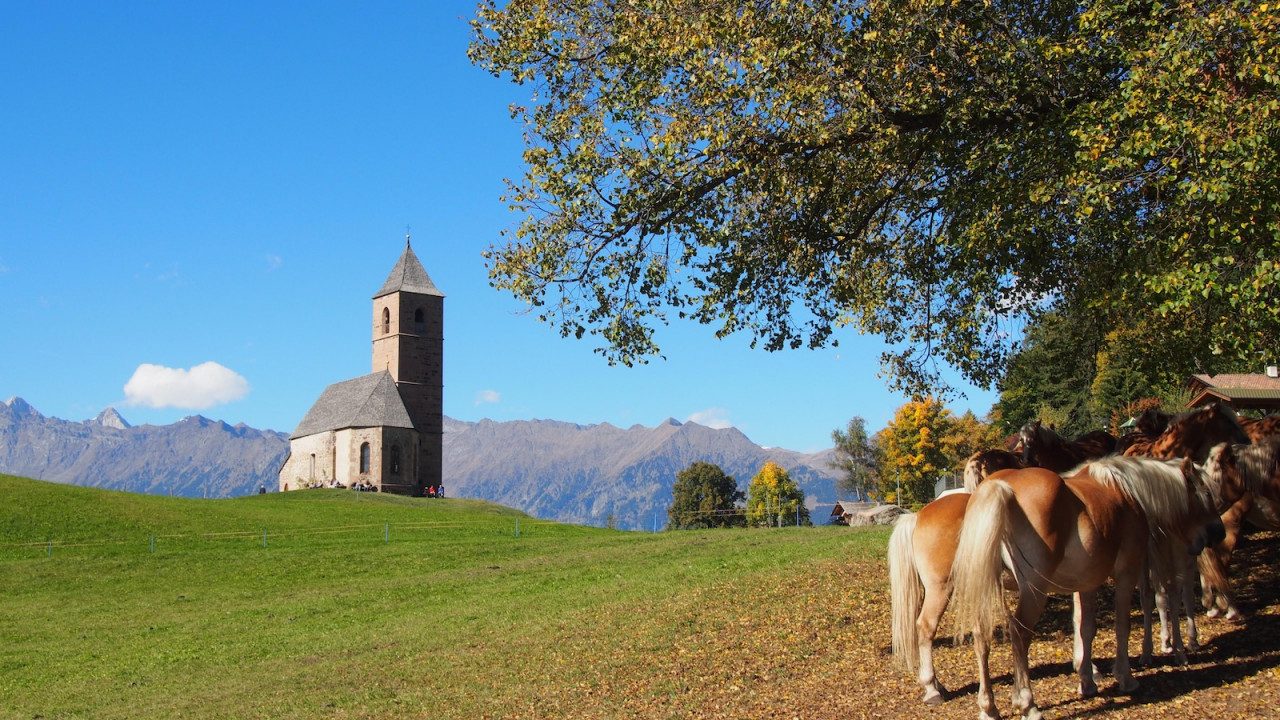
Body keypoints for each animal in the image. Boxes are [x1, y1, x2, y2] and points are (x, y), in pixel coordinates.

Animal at [952, 453, 1228, 717]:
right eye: (1206, 494)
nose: (1219, 532)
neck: (1126, 491)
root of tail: (1001, 486)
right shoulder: (1126, 573)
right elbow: (1121, 625)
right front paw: (1125, 677)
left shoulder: (1086, 583)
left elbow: (1085, 628)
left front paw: (1087, 680)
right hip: (1034, 591)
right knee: (1020, 633)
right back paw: (1027, 704)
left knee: (981, 635)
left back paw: (988, 707)